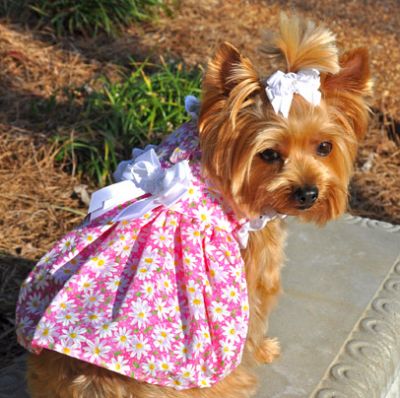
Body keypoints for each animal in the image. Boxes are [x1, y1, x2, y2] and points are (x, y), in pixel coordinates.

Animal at [16, 14, 372, 398]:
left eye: (324, 147)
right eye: (269, 154)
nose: (308, 193)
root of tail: (94, 385)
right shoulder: (256, 266)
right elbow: (256, 316)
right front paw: (263, 350)